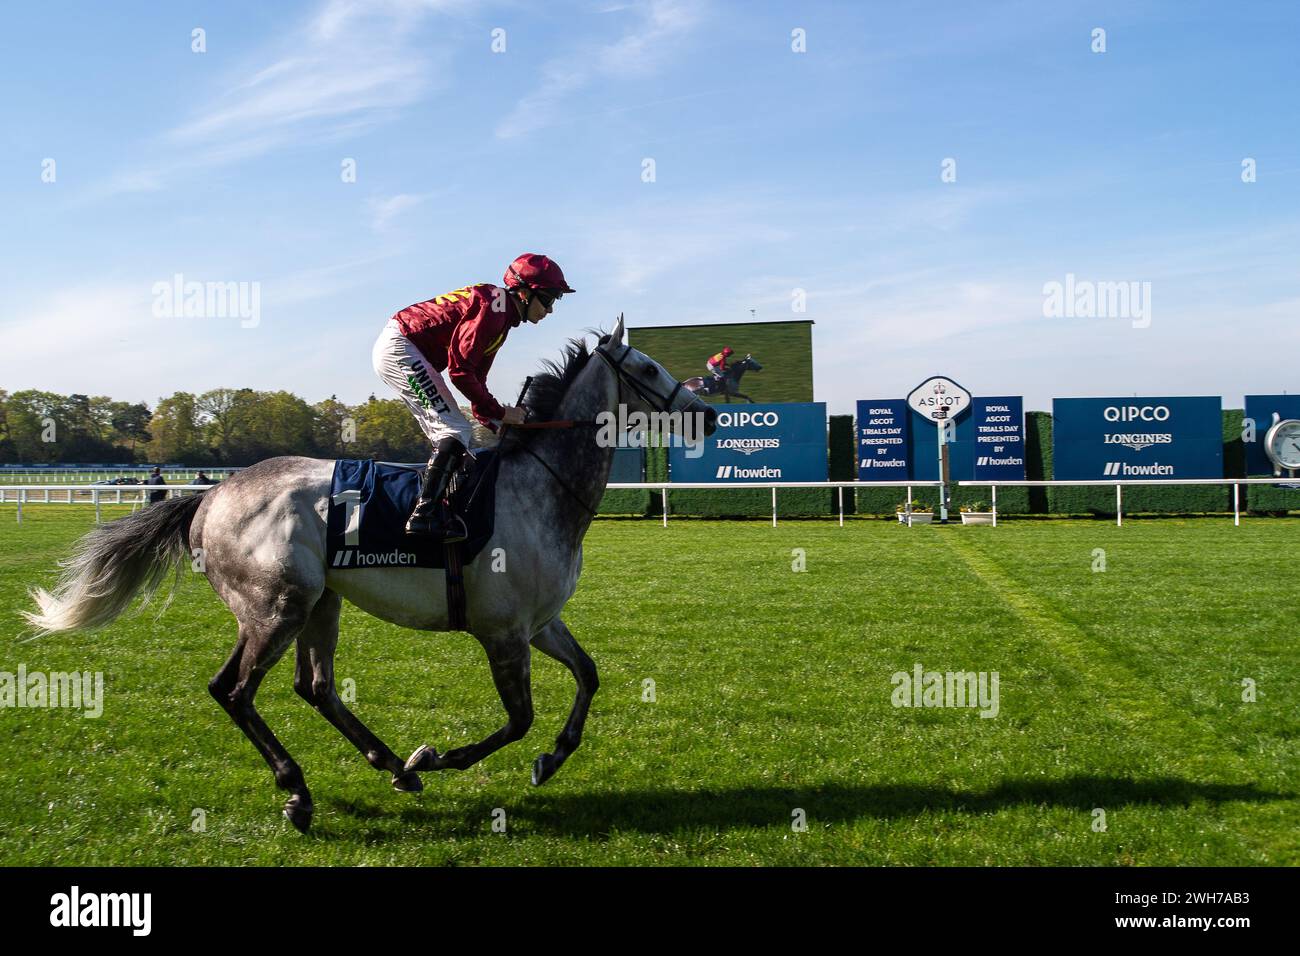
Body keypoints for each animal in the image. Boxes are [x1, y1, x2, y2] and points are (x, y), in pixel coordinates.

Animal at [25, 317, 717, 832]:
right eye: (648, 369)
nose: (707, 414)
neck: (541, 489)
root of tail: (211, 496)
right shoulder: (502, 633)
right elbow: (517, 720)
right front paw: (440, 756)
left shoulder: (540, 623)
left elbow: (588, 677)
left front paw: (548, 760)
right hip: (276, 606)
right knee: (234, 690)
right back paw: (302, 791)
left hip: (320, 602)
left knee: (315, 687)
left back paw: (390, 764)